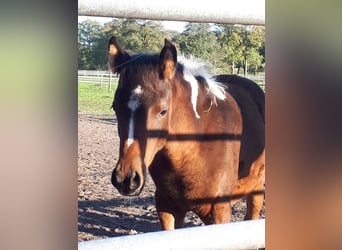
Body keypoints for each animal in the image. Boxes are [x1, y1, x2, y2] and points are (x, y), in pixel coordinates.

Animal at [108, 36, 266, 229]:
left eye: (163, 111)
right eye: (115, 107)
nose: (126, 178)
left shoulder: (219, 212)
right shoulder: (167, 207)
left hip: (257, 188)